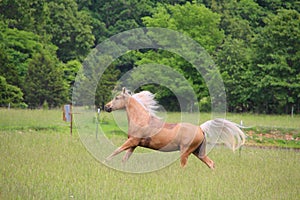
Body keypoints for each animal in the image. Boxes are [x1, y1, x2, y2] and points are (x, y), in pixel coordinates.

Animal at [104, 87, 245, 169]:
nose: (106, 107)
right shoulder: (134, 144)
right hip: (198, 152)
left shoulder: (132, 141)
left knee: (184, 166)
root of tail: (200, 128)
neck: (141, 120)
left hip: (185, 151)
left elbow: (116, 151)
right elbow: (124, 159)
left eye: (117, 97)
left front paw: (105, 162)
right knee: (211, 163)